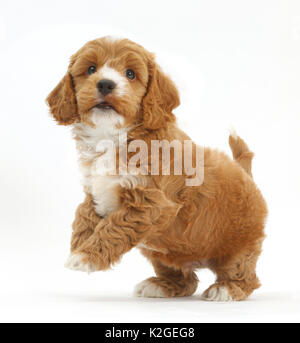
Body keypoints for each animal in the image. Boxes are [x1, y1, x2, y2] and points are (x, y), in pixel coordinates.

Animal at [47, 37, 268, 300]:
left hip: (239, 245)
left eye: (130, 73)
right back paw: (162, 285)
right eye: (91, 69)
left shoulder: (151, 202)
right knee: (186, 280)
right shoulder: (95, 191)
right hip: (161, 253)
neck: (114, 136)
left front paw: (85, 257)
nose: (105, 84)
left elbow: (113, 227)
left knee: (245, 273)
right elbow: (83, 217)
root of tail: (245, 172)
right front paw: (78, 246)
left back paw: (227, 289)